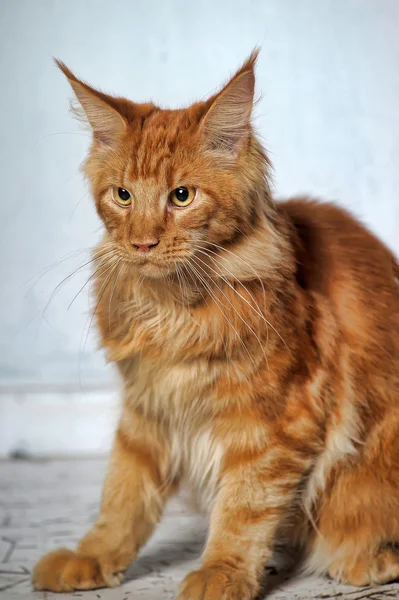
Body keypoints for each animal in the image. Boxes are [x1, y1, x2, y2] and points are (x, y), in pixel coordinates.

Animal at [32, 51, 399, 600]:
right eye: (123, 195)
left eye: (182, 196)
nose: (142, 243)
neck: (172, 311)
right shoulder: (148, 410)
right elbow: (122, 495)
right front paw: (92, 556)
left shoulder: (274, 425)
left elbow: (243, 509)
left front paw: (221, 573)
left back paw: (368, 560)